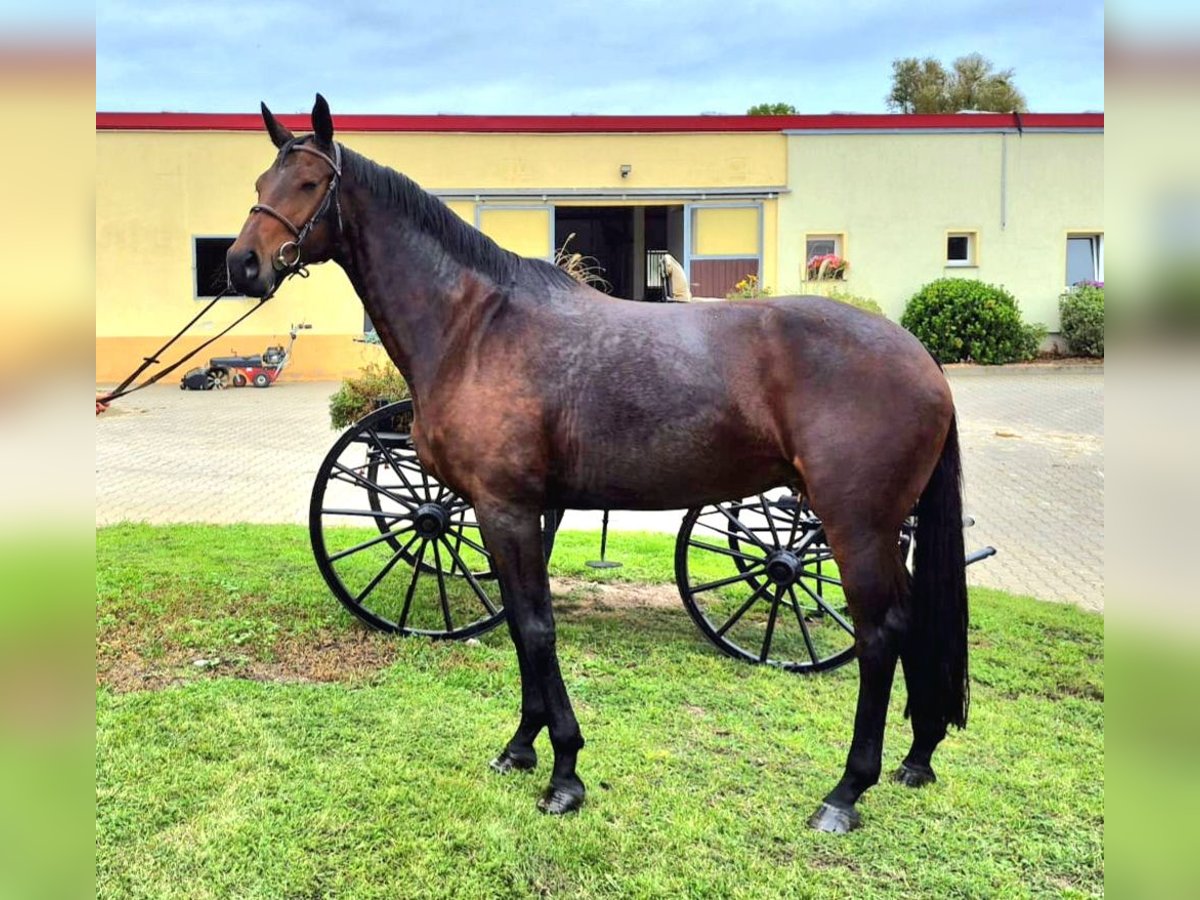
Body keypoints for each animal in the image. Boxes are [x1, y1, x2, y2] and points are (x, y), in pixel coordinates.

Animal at [227, 95, 970, 834]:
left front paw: (563, 773)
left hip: (855, 526)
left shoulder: (507, 508)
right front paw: (521, 748)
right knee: (912, 623)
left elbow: (535, 628)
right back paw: (917, 757)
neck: (475, 327)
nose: (241, 266)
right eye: (260, 181)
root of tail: (920, 358)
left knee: (880, 635)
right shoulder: (503, 513)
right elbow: (522, 625)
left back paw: (846, 791)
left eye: (310, 183)